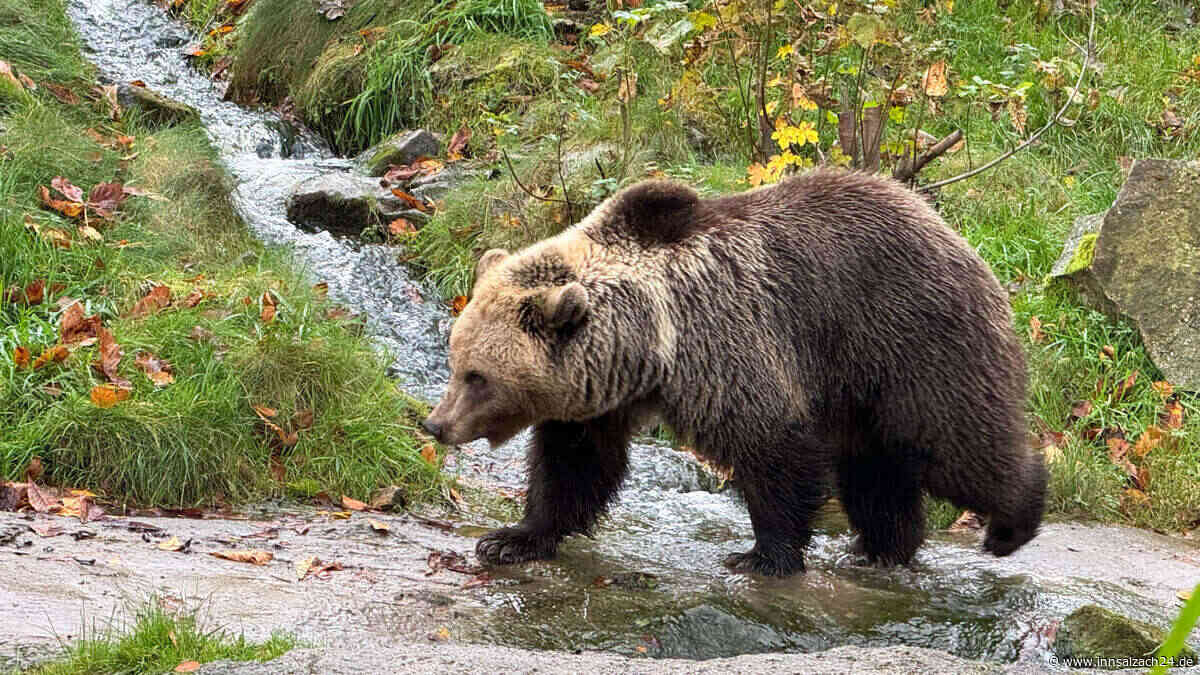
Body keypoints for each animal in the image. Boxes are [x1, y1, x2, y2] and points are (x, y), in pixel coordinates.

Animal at [422, 169, 1047, 576]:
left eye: (478, 376)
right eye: (456, 362)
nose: (435, 424)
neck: (649, 343)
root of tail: (954, 233)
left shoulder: (728, 343)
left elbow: (772, 447)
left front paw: (761, 555)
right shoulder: (602, 395)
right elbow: (574, 465)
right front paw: (512, 539)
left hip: (910, 341)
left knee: (957, 444)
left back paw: (1010, 523)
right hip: (859, 384)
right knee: (876, 466)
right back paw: (881, 546)